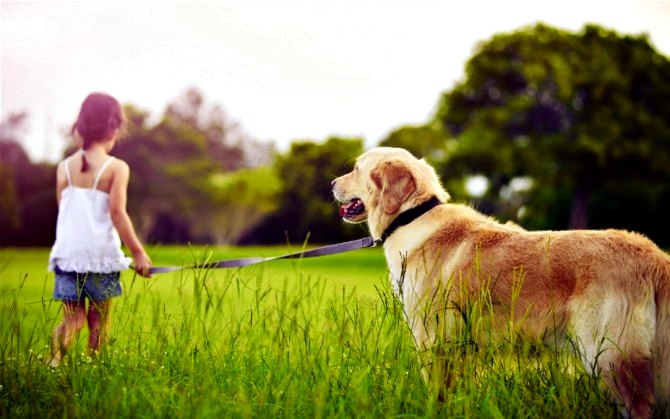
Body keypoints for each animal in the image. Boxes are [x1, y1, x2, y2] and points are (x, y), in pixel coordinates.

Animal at [334, 147, 668, 416]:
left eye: (356, 168)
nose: (332, 183)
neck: (412, 216)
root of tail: (655, 257)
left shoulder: (432, 340)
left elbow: (436, 394)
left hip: (610, 357)